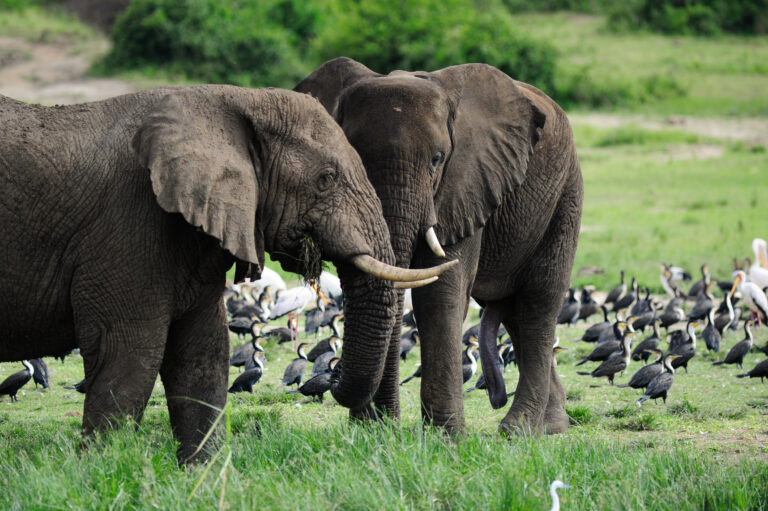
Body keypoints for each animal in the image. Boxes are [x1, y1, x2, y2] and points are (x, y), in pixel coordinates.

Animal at [0, 84, 454, 463]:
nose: (331, 373)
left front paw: (201, 475)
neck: (232, 100)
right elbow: (128, 358)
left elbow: (202, 358)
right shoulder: (126, 228)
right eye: (325, 180)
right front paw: (102, 471)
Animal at [295, 58, 583, 435]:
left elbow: (440, 293)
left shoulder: (466, 181)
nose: (334, 374)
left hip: (565, 195)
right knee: (515, 312)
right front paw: (372, 431)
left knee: (538, 302)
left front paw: (445, 436)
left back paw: (517, 429)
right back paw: (551, 426)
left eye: (437, 159)